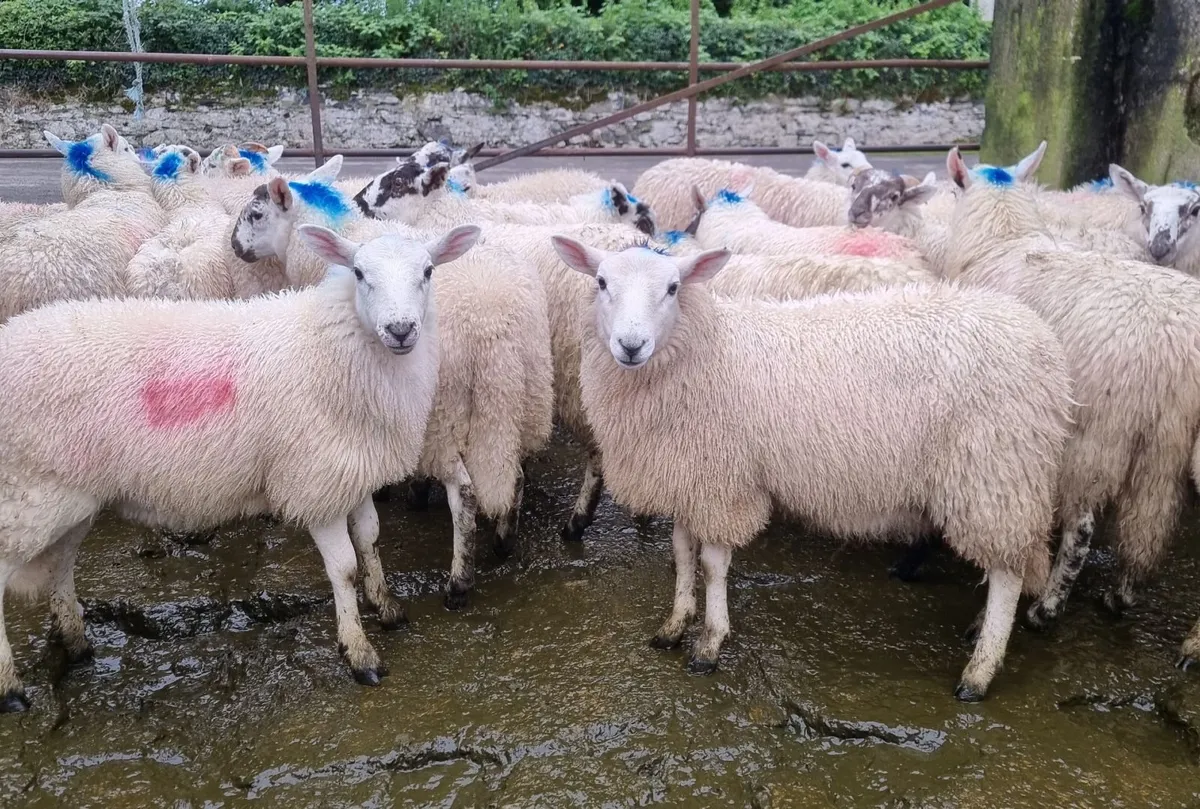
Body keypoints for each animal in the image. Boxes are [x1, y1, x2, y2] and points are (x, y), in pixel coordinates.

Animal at [0, 224, 481, 712]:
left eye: (428, 271)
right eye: (360, 273)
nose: (400, 330)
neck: (329, 346)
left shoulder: (351, 469)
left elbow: (370, 539)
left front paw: (387, 609)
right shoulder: (314, 480)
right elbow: (344, 567)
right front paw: (359, 653)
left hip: (69, 495)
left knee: (61, 565)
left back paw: (76, 643)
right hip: (25, 491)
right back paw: (11, 689)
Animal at [231, 179, 553, 609]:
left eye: (256, 214)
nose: (235, 246)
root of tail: (492, 321)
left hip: (444, 415)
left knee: (465, 494)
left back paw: (458, 583)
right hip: (526, 396)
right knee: (515, 471)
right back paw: (504, 540)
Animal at [550, 237, 1070, 700]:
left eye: (674, 288)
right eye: (601, 282)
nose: (630, 344)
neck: (704, 351)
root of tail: (1041, 339)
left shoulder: (724, 480)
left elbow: (713, 566)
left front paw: (710, 643)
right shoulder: (689, 475)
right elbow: (681, 554)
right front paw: (674, 625)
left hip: (994, 470)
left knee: (1007, 575)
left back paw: (979, 673)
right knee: (1013, 561)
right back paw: (978, 630)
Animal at [944, 143, 1200, 628]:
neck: (1004, 242)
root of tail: (1175, 346)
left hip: (1099, 432)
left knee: (1082, 529)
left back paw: (1046, 608)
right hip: (1168, 439)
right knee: (1150, 523)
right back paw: (1121, 596)